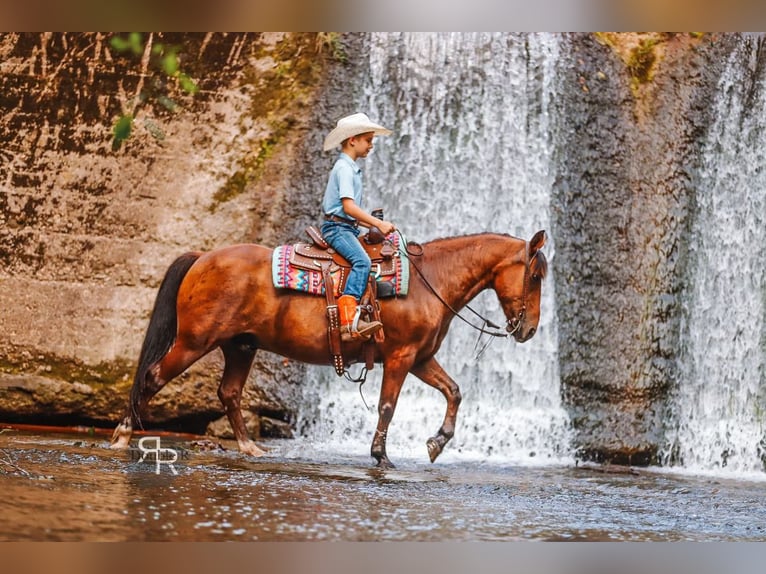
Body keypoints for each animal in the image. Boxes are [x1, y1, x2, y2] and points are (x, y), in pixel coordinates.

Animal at [110, 230, 548, 468]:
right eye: (535, 276)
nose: (529, 330)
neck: (430, 281)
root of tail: (202, 257)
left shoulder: (421, 358)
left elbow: (454, 391)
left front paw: (436, 443)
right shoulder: (401, 356)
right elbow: (388, 405)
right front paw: (381, 455)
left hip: (240, 346)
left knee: (229, 392)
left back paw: (251, 447)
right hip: (193, 342)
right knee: (152, 377)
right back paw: (122, 436)